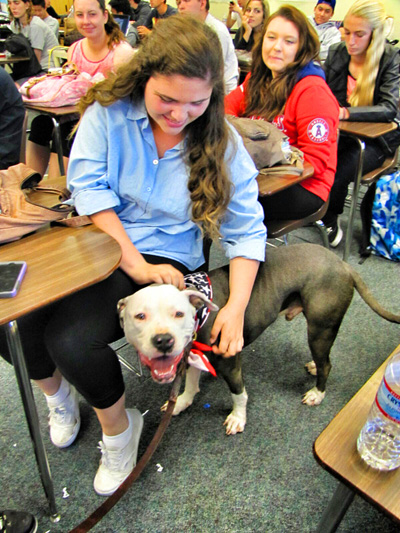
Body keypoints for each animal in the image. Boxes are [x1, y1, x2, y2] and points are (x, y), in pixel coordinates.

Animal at [117, 243, 398, 434]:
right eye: (139, 316)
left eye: (178, 313)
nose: (163, 340)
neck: (202, 308)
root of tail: (343, 265)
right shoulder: (194, 353)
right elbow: (191, 384)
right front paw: (181, 403)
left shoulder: (230, 363)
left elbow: (238, 394)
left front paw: (238, 418)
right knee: (323, 360)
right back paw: (314, 367)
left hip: (319, 328)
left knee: (327, 363)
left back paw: (317, 393)